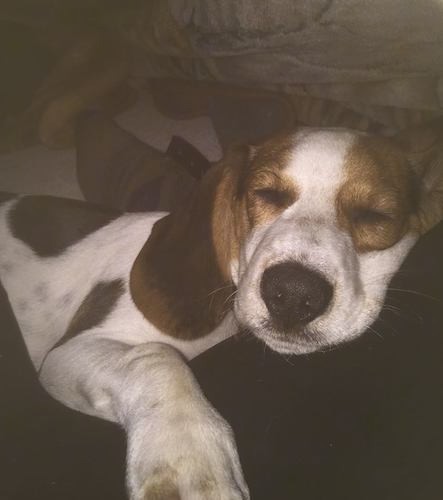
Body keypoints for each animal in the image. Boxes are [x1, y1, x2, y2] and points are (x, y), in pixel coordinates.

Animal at [0, 122, 443, 500]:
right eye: (266, 194)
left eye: (376, 215)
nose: (292, 293)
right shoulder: (66, 355)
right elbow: (156, 358)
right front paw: (186, 458)